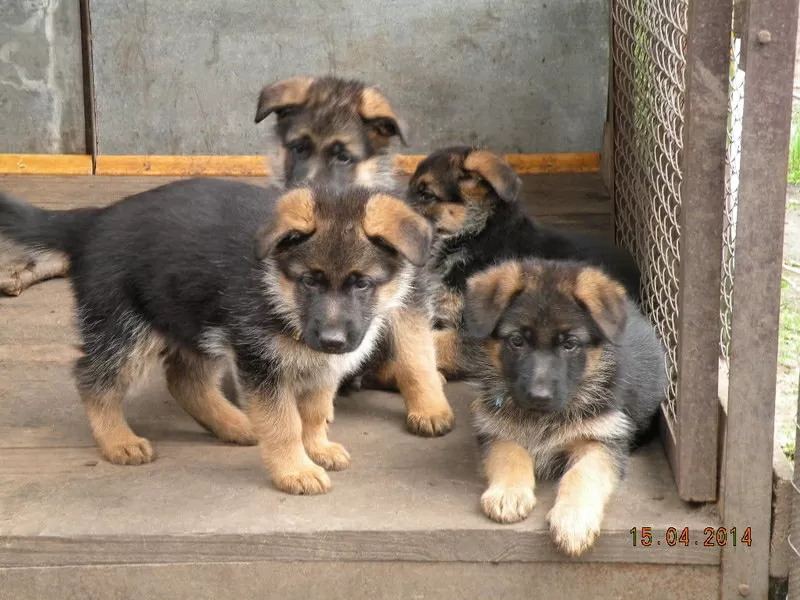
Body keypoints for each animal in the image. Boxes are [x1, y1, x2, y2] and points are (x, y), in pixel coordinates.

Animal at [1, 179, 438, 496]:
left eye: (362, 283)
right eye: (310, 280)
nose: (332, 340)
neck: (276, 289)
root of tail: (92, 221)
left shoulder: (319, 365)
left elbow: (312, 411)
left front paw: (317, 447)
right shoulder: (260, 362)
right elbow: (284, 422)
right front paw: (294, 469)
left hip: (193, 318)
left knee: (185, 381)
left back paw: (236, 424)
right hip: (124, 327)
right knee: (92, 379)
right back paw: (118, 440)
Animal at [456, 260, 664, 556]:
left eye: (569, 344)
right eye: (517, 341)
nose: (538, 396)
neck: (542, 418)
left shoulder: (601, 441)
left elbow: (583, 474)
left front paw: (573, 519)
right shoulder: (495, 431)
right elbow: (510, 453)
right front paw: (508, 493)